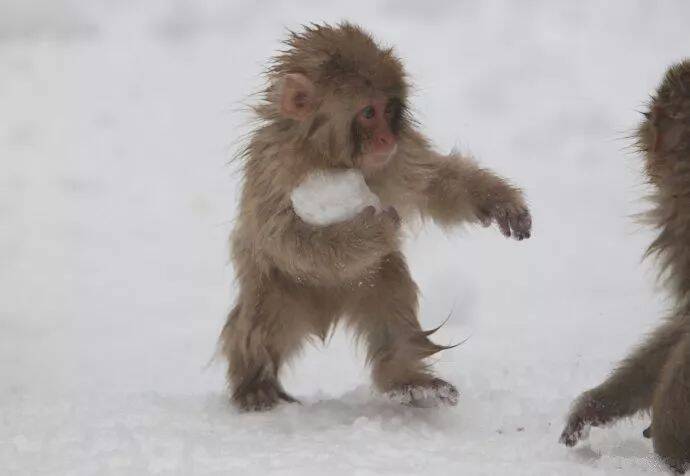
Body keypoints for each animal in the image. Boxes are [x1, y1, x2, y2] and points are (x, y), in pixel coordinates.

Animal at [220, 22, 532, 410]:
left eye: (389, 109)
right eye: (369, 113)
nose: (385, 138)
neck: (332, 159)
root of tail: (324, 314)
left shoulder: (401, 158)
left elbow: (435, 184)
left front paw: (501, 201)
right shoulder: (275, 170)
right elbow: (285, 239)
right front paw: (374, 229)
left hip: (363, 285)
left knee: (388, 288)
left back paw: (408, 379)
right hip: (280, 289)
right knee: (261, 320)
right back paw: (254, 382)